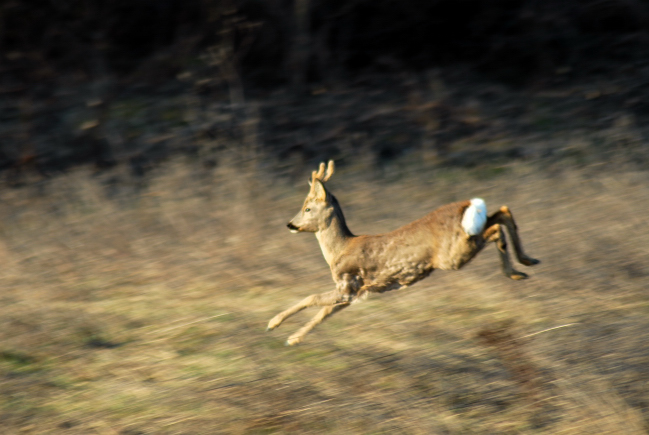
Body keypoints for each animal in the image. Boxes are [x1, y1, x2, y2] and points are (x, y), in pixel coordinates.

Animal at [266, 162, 540, 346]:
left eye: (307, 208)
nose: (290, 224)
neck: (340, 249)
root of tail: (467, 204)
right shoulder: (355, 292)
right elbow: (323, 313)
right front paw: (293, 338)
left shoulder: (348, 282)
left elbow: (311, 298)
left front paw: (273, 324)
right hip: (467, 237)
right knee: (502, 211)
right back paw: (526, 263)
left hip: (453, 253)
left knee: (496, 227)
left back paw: (515, 269)